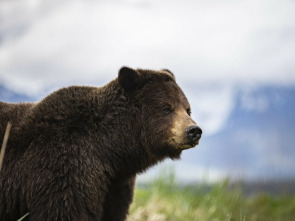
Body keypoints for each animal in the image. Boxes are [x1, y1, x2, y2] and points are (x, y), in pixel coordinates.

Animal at [0, 66, 202, 220]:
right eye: (167, 108)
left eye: (187, 109)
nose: (194, 131)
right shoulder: (62, 166)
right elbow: (62, 210)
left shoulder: (115, 186)